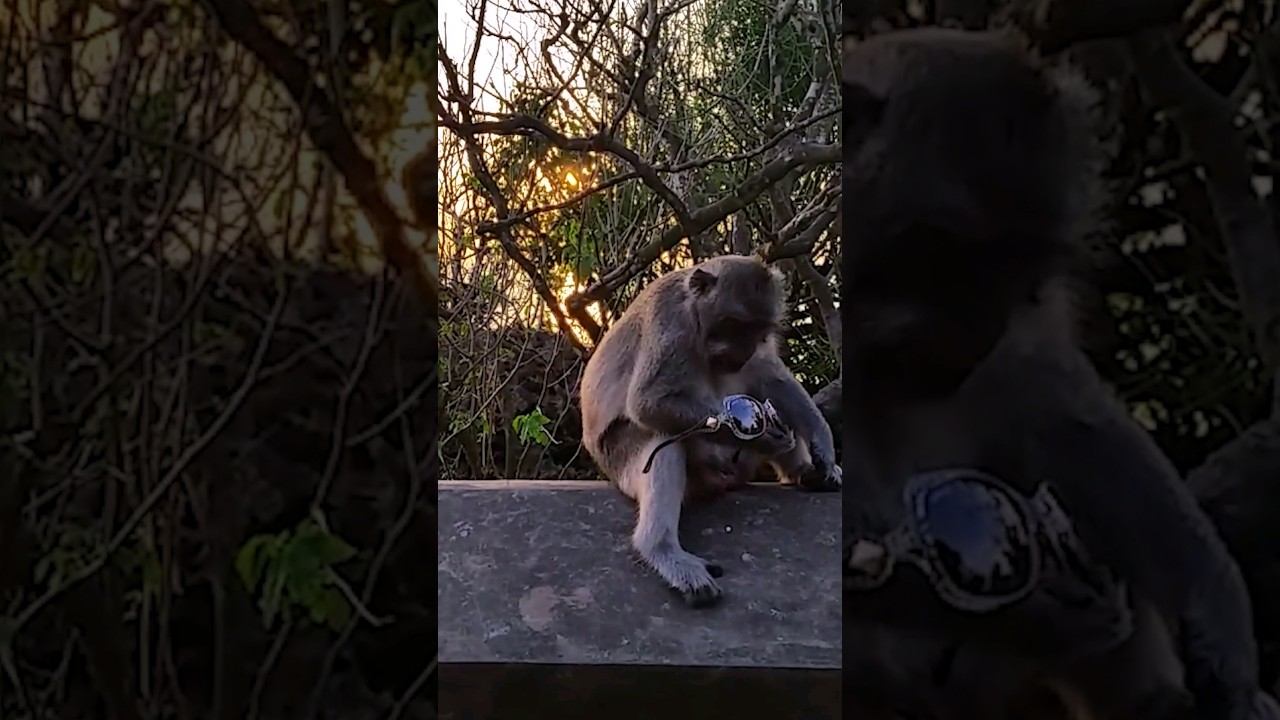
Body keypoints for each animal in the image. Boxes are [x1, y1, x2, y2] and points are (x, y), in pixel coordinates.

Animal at [579, 254, 842, 607]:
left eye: (757, 330)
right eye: (734, 324)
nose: (742, 351)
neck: (696, 314)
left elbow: (770, 374)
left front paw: (821, 443)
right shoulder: (670, 319)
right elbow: (650, 401)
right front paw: (764, 439)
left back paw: (802, 470)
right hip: (620, 460)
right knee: (662, 439)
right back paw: (661, 549)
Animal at [839, 27, 1279, 720]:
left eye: (1020, 267)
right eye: (940, 252)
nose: (972, 342)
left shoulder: (1025, 332)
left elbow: (1077, 425)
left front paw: (1224, 640)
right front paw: (1036, 615)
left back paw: (1152, 699)